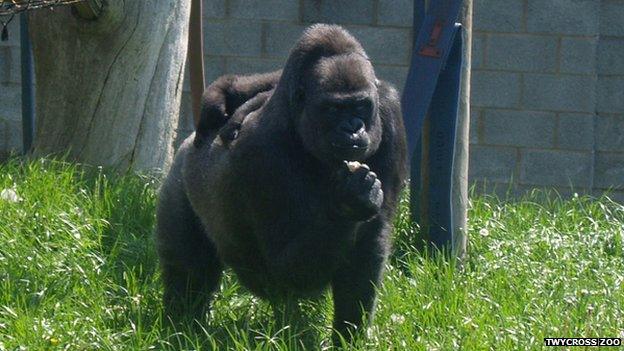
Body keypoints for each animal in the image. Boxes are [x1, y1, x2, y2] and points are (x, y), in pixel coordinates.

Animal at [156, 23, 410, 342]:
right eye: (333, 109)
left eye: (361, 107)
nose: (353, 128)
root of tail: (188, 141)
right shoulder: (260, 149)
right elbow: (284, 265)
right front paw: (350, 203)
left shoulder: (389, 110)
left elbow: (371, 240)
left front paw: (347, 337)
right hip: (179, 180)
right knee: (189, 271)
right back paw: (180, 325)